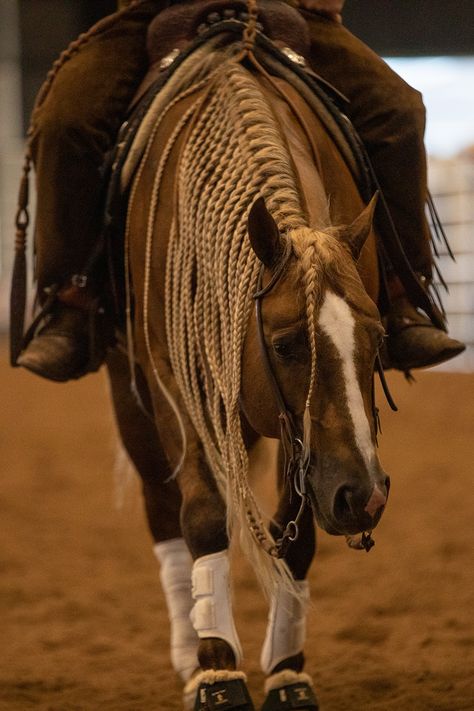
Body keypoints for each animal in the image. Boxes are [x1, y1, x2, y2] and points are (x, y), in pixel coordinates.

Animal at [105, 4, 390, 708]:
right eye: (286, 343)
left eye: (377, 339)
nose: (365, 497)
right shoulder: (171, 383)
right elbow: (204, 516)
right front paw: (219, 675)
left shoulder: (303, 441)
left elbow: (299, 533)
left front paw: (288, 672)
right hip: (129, 398)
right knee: (163, 510)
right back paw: (189, 658)